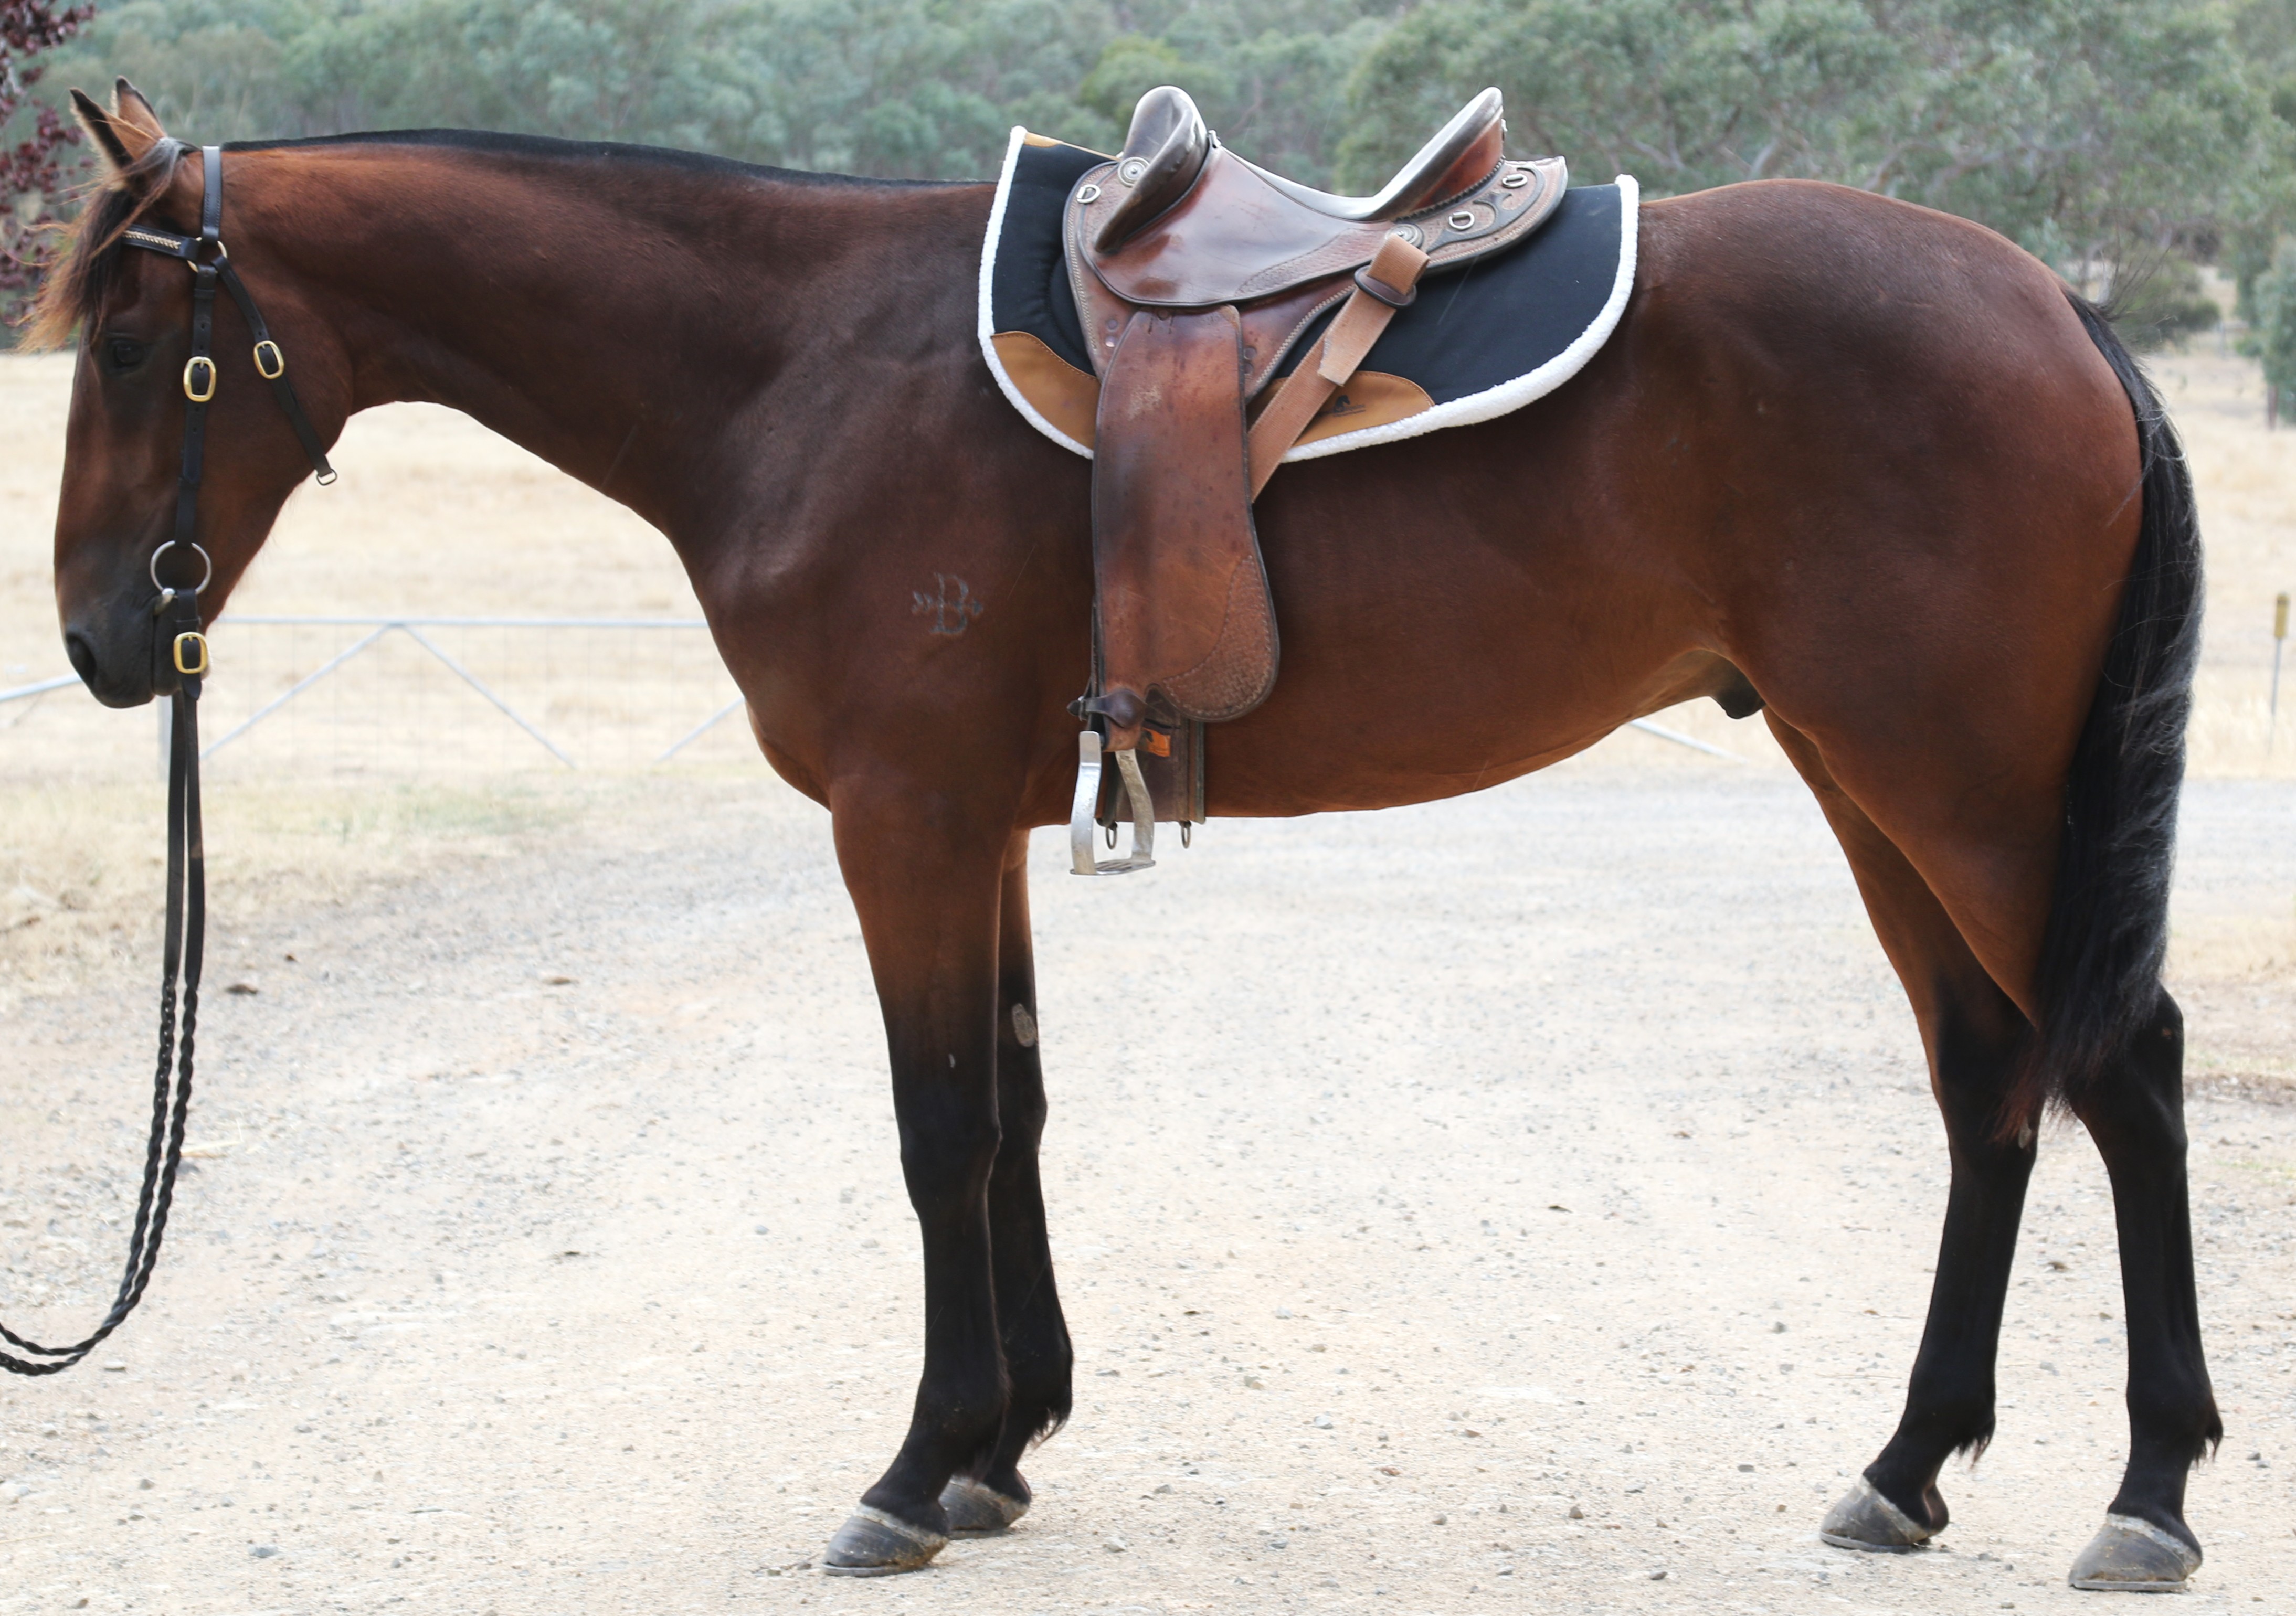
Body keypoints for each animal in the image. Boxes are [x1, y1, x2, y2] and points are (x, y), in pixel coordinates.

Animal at [35, 81, 2213, 1587]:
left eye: (136, 347)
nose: (97, 642)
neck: (798, 365)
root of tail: (2053, 306)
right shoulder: (973, 825)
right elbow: (1010, 1108)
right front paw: (1001, 1448)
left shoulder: (902, 823)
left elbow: (934, 1129)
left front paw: (910, 1474)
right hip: (1867, 777)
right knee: (1987, 1078)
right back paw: (1904, 1468)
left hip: (1955, 784)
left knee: (2120, 1065)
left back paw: (2145, 1494)